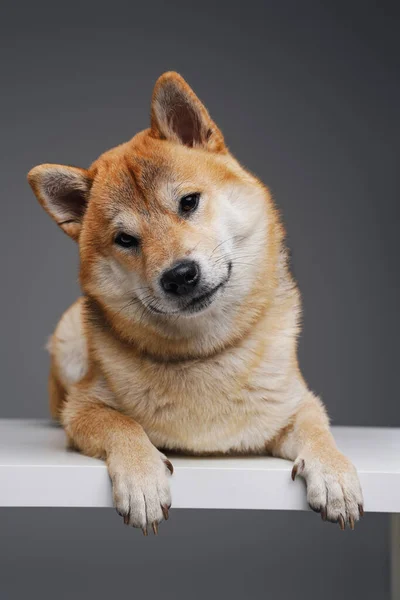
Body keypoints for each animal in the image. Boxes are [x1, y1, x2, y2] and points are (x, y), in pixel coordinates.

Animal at [27, 70, 362, 536]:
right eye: (125, 239)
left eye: (188, 202)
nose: (180, 275)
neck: (205, 353)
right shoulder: (81, 409)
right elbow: (121, 423)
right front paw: (142, 478)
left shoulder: (297, 402)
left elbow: (319, 430)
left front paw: (334, 475)